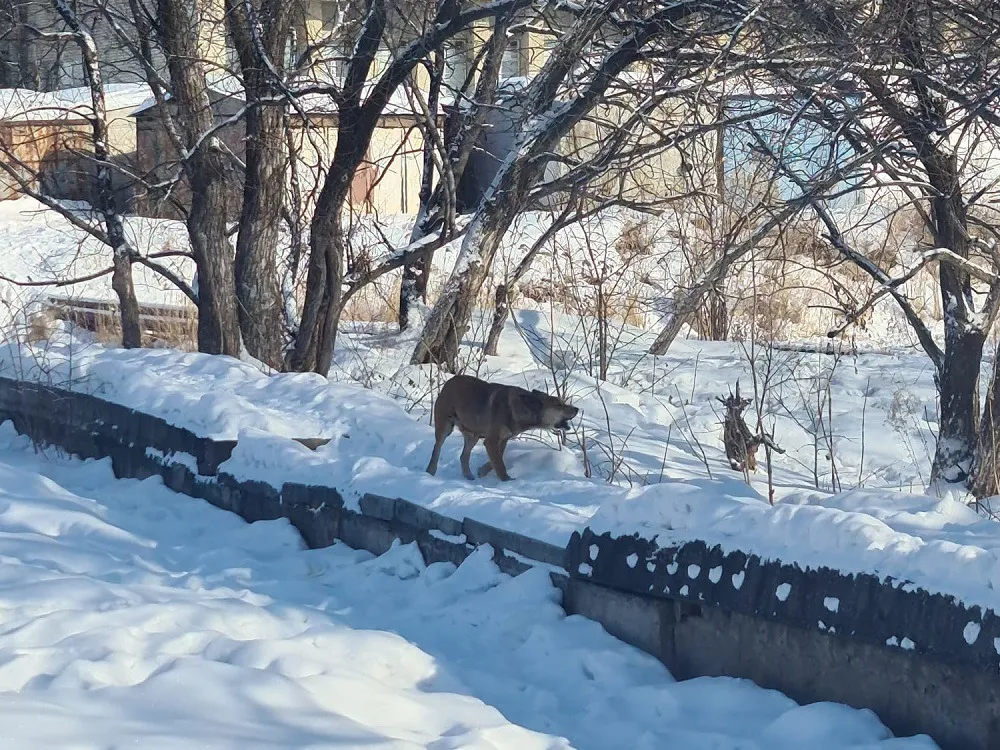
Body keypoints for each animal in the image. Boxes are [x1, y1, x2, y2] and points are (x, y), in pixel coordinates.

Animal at [428, 374, 584, 482]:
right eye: (559, 405)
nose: (577, 409)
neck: (522, 409)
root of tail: (449, 381)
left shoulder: (503, 439)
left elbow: (496, 460)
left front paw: (482, 471)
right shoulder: (491, 440)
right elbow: (499, 463)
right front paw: (506, 480)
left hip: (473, 435)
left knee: (463, 456)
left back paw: (468, 476)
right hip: (445, 427)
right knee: (437, 448)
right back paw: (430, 471)